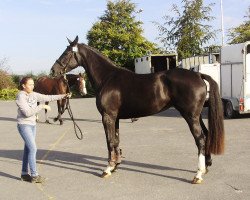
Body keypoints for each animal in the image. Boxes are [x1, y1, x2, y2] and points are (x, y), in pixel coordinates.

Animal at [50, 36, 225, 184]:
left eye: (66, 53)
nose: (53, 70)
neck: (107, 78)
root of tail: (199, 75)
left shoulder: (107, 117)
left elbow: (109, 141)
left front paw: (107, 169)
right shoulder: (116, 118)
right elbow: (116, 140)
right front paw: (115, 165)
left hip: (190, 116)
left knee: (200, 139)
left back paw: (198, 174)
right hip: (196, 116)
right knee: (206, 135)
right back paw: (206, 166)